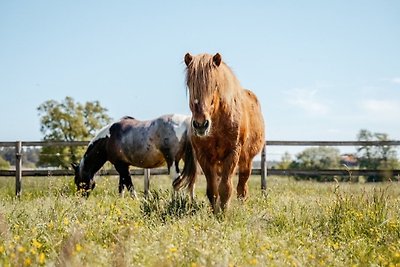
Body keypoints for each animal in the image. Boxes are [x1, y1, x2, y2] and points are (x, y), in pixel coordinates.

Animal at [174, 52, 266, 214]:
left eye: (215, 85)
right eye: (190, 85)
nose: (200, 124)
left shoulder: (232, 153)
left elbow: (226, 188)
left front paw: (223, 213)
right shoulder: (204, 156)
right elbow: (212, 190)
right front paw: (216, 212)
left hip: (246, 161)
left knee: (242, 188)